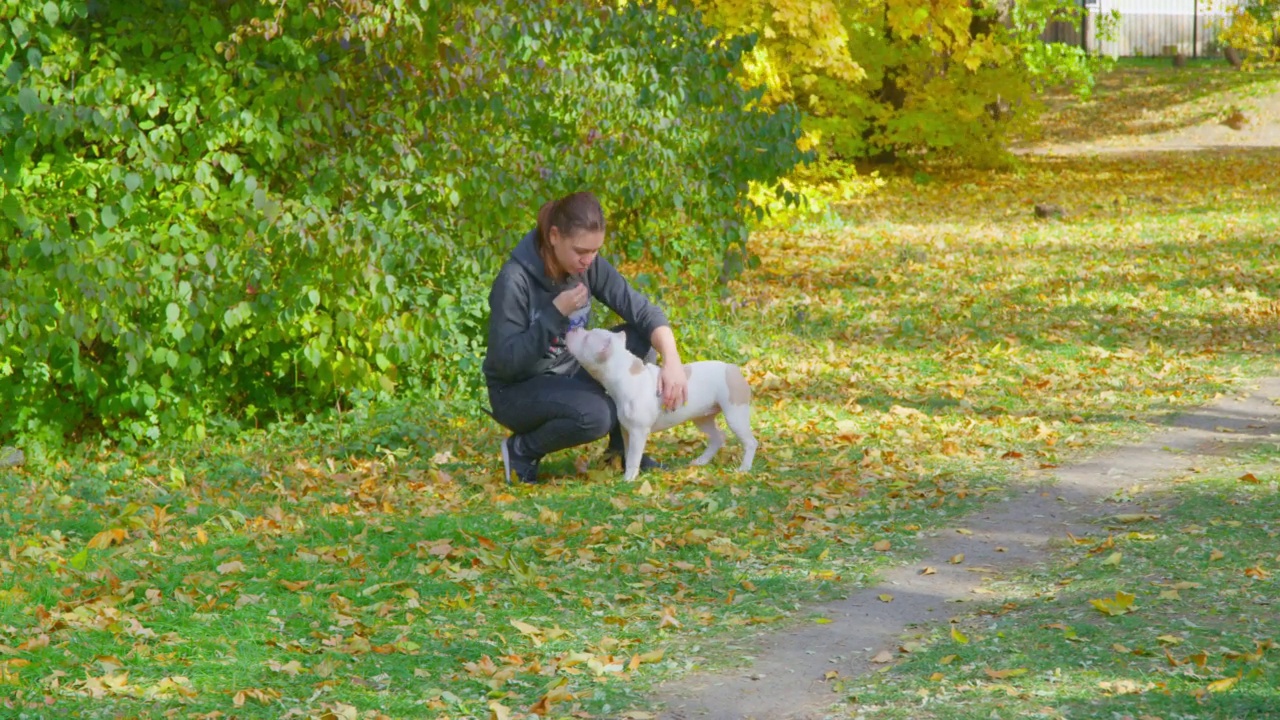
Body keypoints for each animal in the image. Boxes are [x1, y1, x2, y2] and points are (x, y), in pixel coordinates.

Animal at [565, 327, 752, 479]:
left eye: (586, 338)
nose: (574, 328)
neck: (624, 374)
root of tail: (732, 368)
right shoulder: (627, 431)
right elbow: (629, 452)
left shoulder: (638, 431)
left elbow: (633, 456)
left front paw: (628, 479)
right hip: (702, 418)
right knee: (717, 437)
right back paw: (701, 461)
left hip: (735, 415)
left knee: (750, 442)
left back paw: (744, 468)